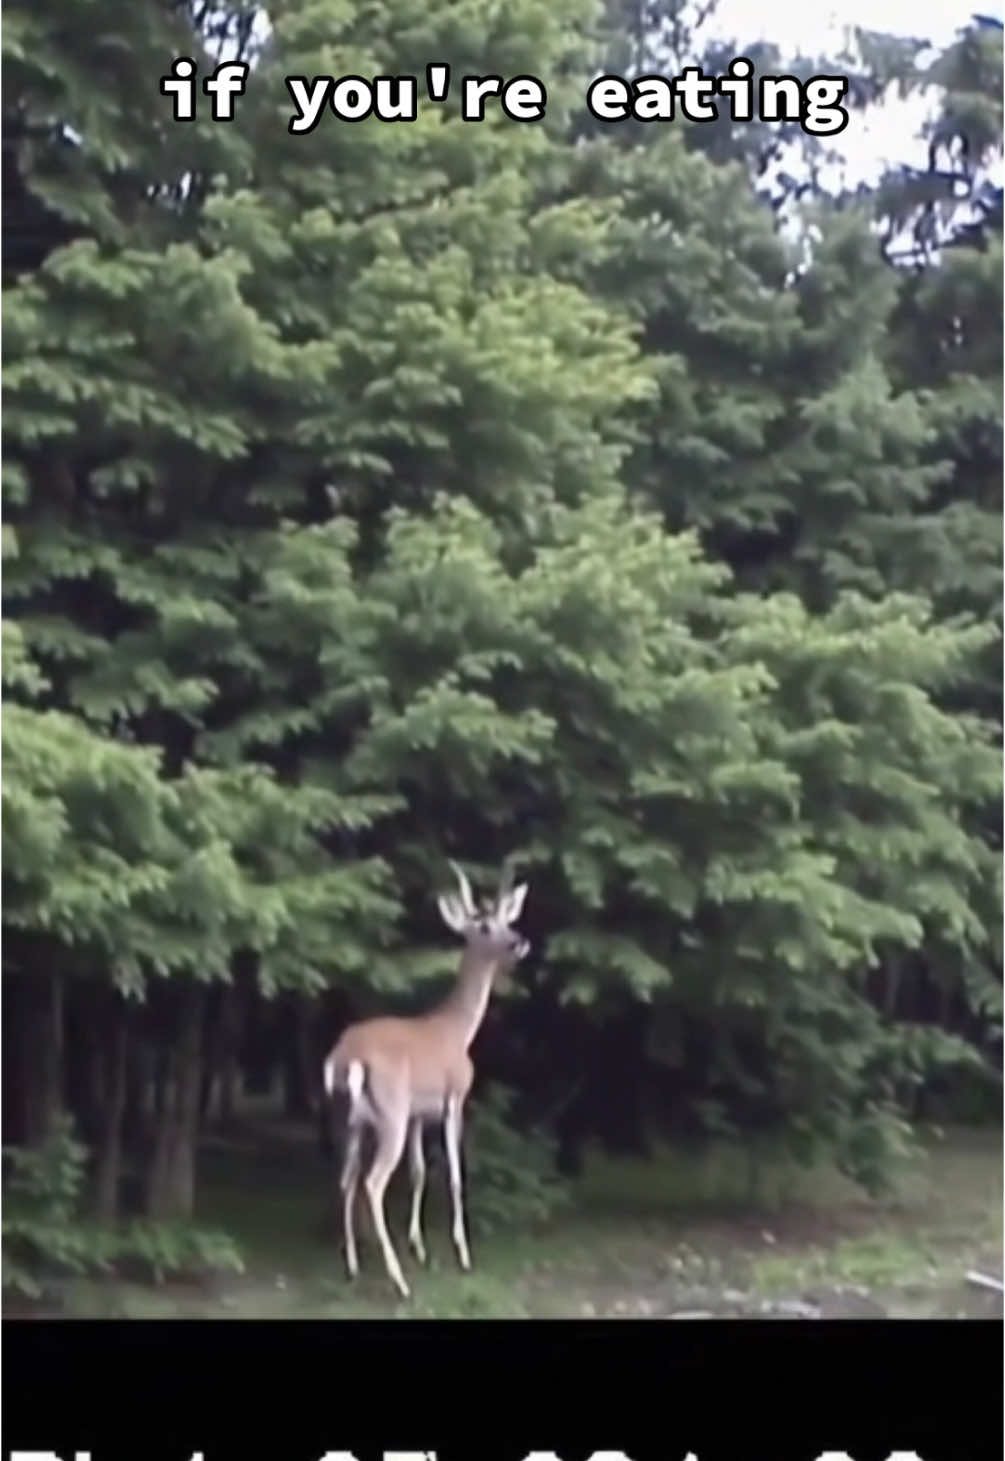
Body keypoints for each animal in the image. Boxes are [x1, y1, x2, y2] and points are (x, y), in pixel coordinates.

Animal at [322, 860, 530, 1299]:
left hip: (348, 1118)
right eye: (483, 925)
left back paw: (353, 1266)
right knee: (372, 1183)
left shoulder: (419, 1113)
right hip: (391, 1114)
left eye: (508, 918)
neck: (457, 1031)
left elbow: (419, 1173)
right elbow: (454, 1173)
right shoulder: (455, 1098)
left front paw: (419, 1247)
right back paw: (398, 1283)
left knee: (346, 1178)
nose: (518, 942)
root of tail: (346, 1057)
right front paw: (462, 1254)